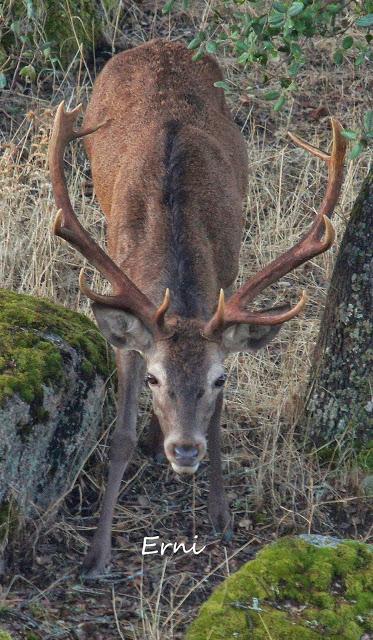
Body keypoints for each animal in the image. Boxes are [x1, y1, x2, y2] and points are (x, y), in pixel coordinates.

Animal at [48, 37, 344, 576]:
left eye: (219, 379)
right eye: (153, 378)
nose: (184, 449)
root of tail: (159, 43)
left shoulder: (222, 288)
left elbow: (220, 422)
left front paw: (221, 517)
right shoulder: (128, 331)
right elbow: (119, 436)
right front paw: (96, 555)